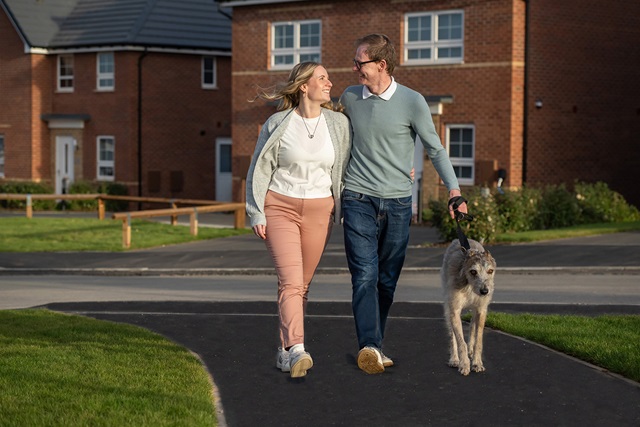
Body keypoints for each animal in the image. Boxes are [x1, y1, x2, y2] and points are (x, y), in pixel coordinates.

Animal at [442, 239, 498, 376]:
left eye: (490, 271)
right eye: (473, 271)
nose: (485, 291)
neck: (469, 286)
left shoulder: (481, 310)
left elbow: (478, 339)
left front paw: (477, 363)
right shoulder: (454, 310)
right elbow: (460, 340)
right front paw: (464, 364)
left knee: (472, 325)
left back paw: (470, 350)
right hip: (447, 306)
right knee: (452, 334)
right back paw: (454, 359)